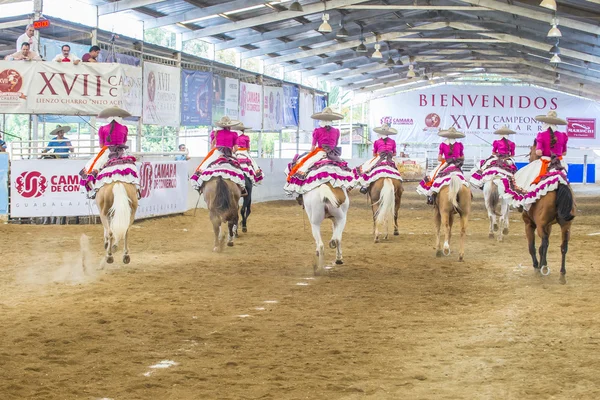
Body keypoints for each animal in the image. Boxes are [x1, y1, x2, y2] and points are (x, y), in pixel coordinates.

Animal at [524, 145, 576, 282]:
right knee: (564, 246)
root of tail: (559, 184)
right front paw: (545, 265)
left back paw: (541, 268)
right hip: (566, 226)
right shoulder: (549, 225)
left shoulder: (529, 224)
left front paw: (537, 266)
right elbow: (542, 248)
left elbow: (532, 247)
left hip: (540, 225)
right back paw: (562, 274)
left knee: (545, 242)